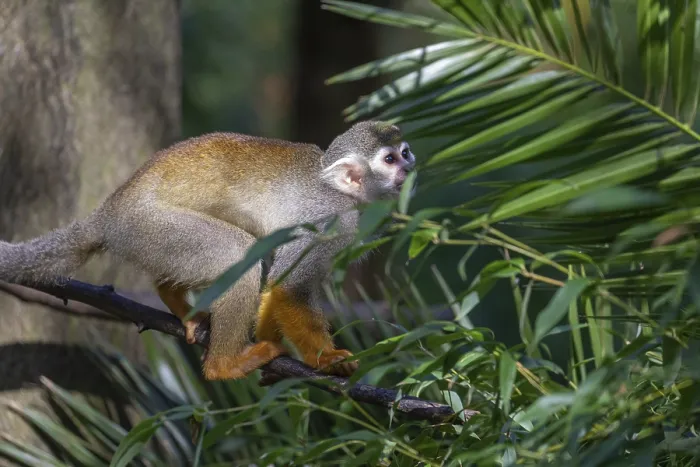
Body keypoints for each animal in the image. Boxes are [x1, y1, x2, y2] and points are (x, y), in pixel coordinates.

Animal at [0, 121, 416, 381]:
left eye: (405, 152)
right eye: (389, 159)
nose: (409, 167)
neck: (345, 194)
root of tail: (107, 214)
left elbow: (277, 284)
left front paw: (274, 342)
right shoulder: (329, 219)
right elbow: (289, 286)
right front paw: (326, 359)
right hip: (151, 224)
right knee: (238, 254)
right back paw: (224, 365)